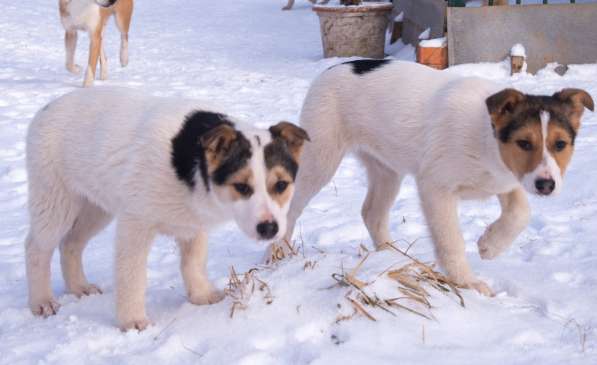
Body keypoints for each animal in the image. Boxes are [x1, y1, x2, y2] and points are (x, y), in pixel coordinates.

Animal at [25, 86, 310, 330]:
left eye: (281, 185)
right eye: (241, 186)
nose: (269, 228)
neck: (192, 161)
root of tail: (46, 108)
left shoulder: (194, 225)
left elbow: (193, 263)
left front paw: (201, 295)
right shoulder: (135, 223)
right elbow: (132, 276)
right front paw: (132, 320)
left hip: (96, 208)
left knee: (71, 244)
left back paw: (79, 287)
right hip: (55, 201)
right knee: (36, 248)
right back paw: (42, 301)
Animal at [272, 58, 592, 294]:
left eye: (560, 144)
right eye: (524, 143)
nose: (546, 185)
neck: (486, 139)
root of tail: (331, 69)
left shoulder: (507, 180)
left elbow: (521, 212)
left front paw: (490, 245)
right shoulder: (435, 187)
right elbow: (451, 241)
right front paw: (467, 283)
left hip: (387, 170)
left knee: (372, 213)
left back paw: (392, 258)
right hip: (320, 161)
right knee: (290, 208)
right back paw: (276, 255)